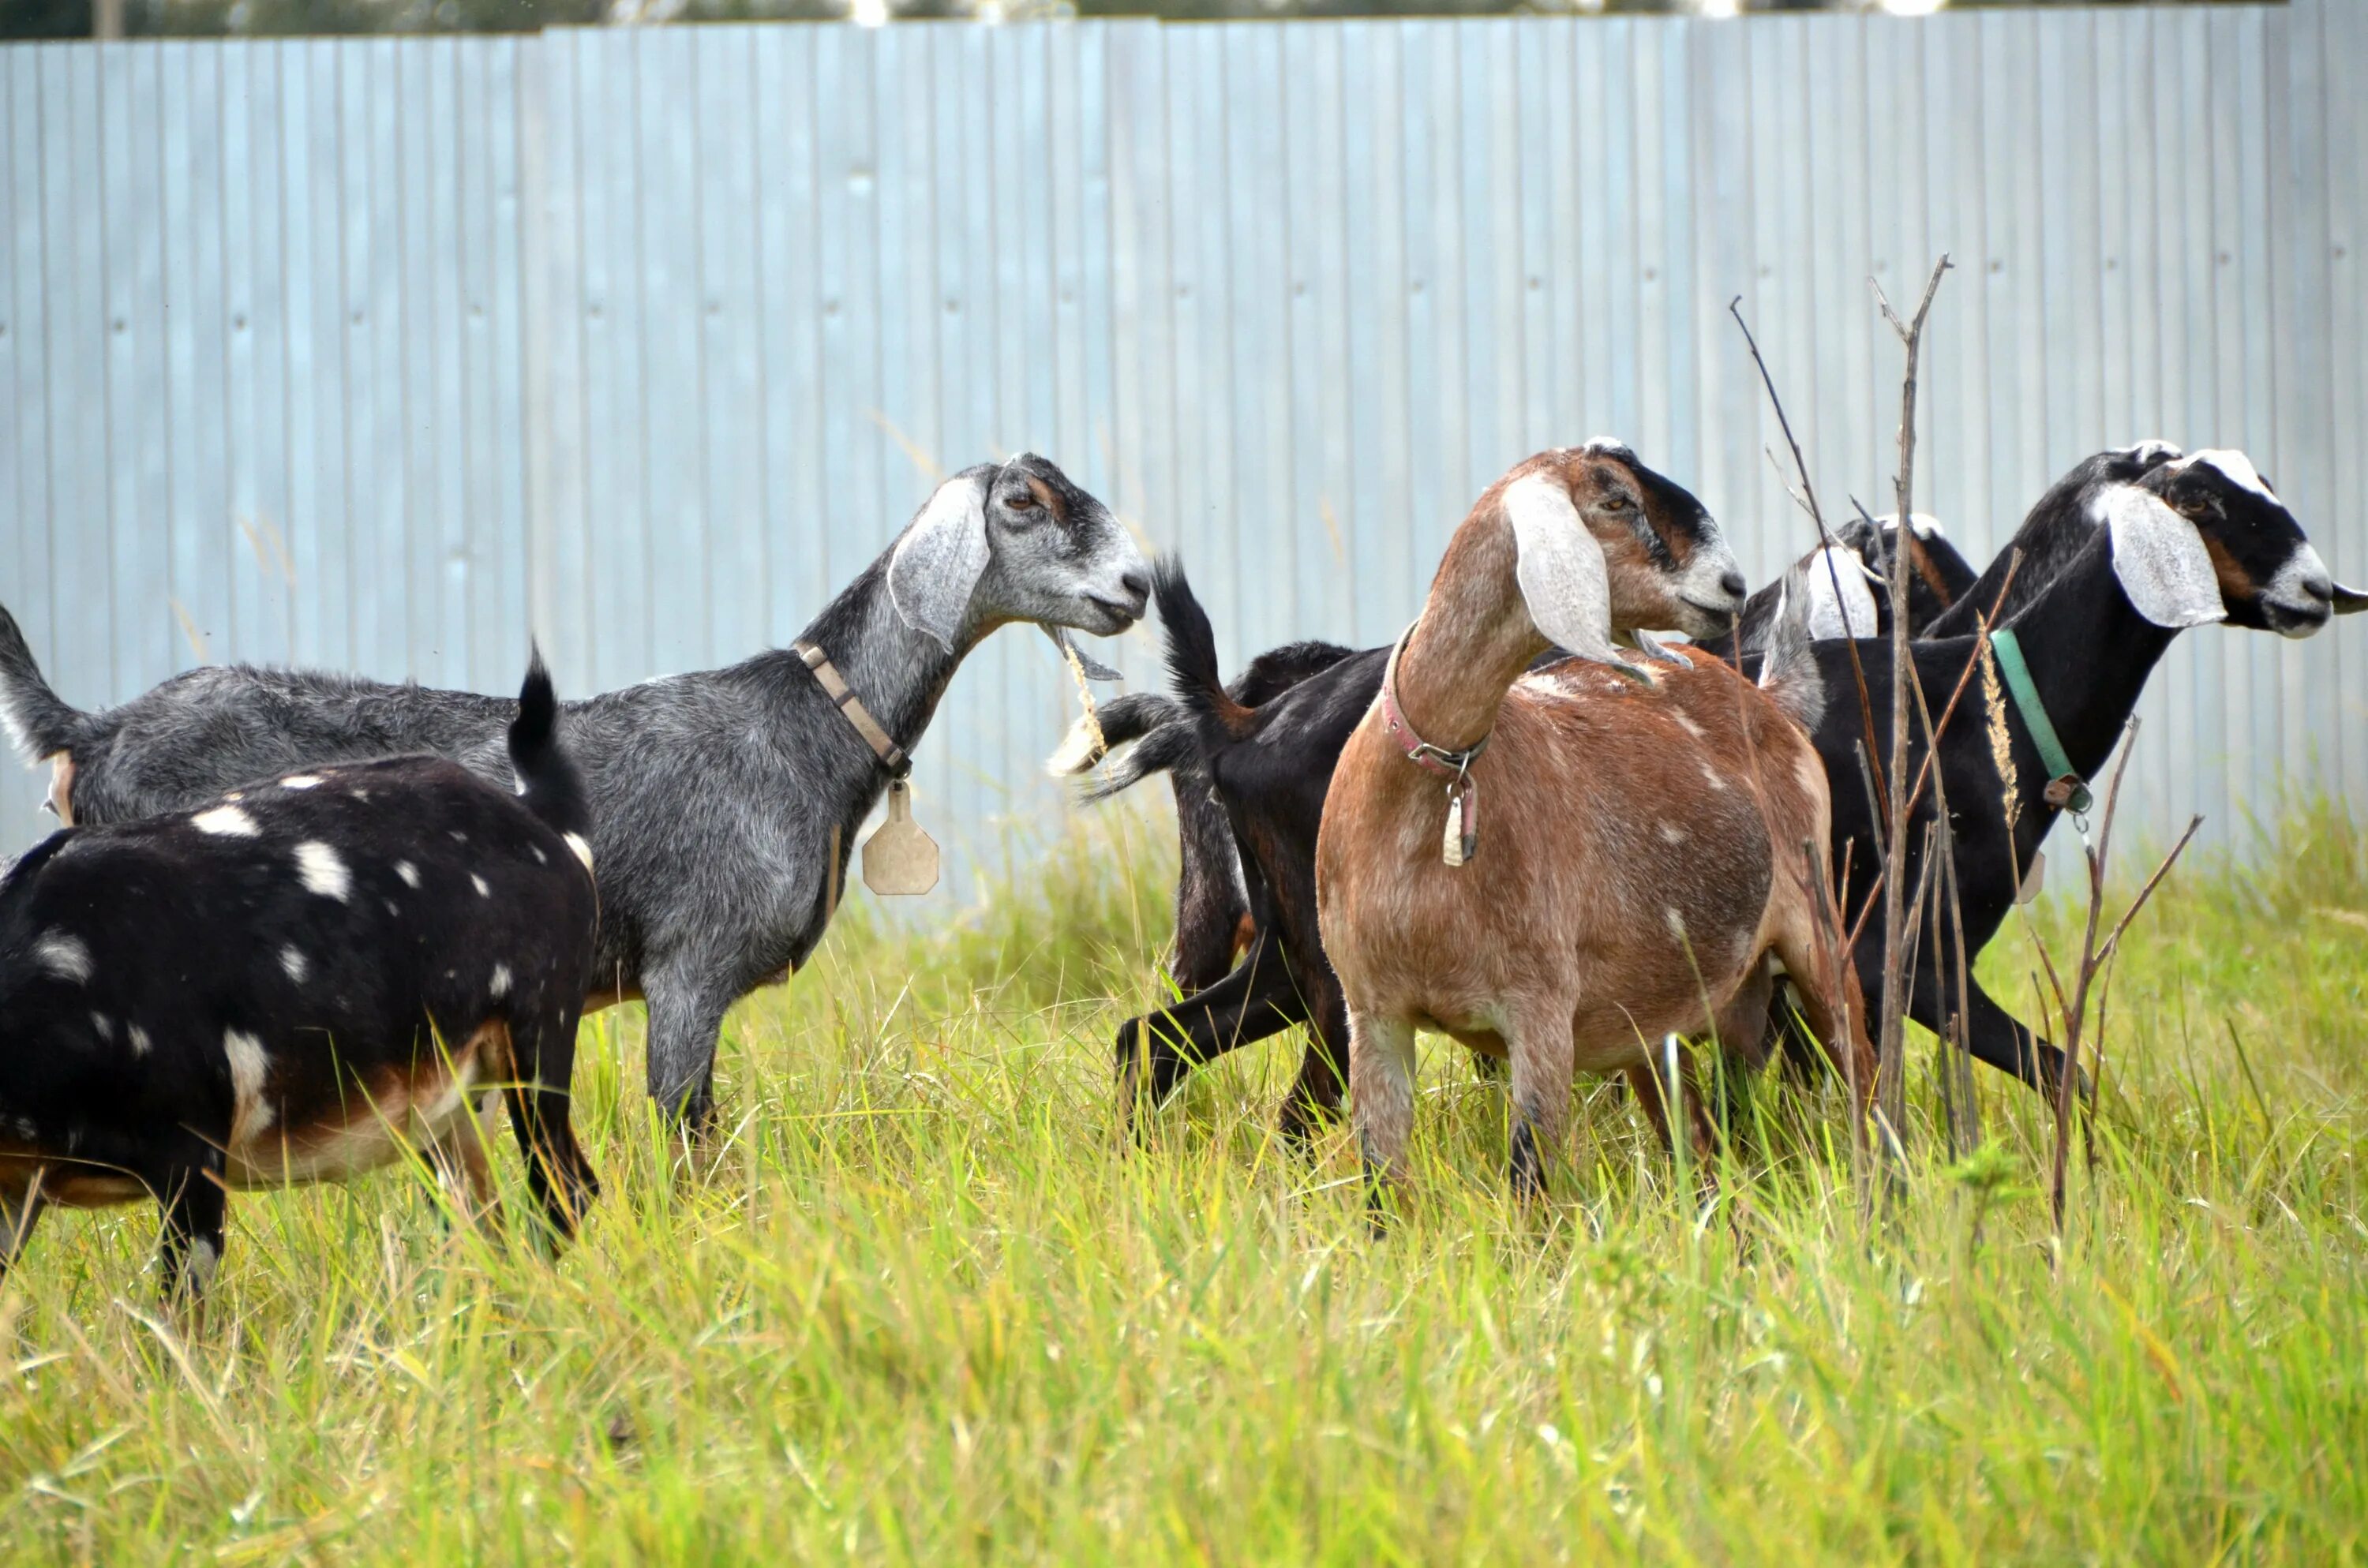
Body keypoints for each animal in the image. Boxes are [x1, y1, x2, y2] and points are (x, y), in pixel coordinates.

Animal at [0, 455, 1146, 1132]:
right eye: (1023, 502)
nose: (1136, 586)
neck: (803, 728)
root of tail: (89, 734)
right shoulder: (689, 965)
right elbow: (689, 1137)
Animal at [0, 653, 601, 1297]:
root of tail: (536, 815)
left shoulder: (192, 1152)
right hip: (453, 1100)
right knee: (477, 1222)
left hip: (539, 1037)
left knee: (566, 1192)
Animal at [1099, 443, 1752, 1141]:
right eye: (1616, 499)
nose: (1729, 585)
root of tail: (1246, 722)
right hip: (1331, 975)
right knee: (1300, 1103)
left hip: (1276, 953)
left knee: (1154, 1037)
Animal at [1317, 447, 1866, 1207]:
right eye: (1615, 501)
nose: (1731, 584)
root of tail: (1771, 700)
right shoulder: (1373, 1016)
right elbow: (1380, 1191)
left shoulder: (1541, 1013)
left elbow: (1530, 1181)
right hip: (1653, 1022)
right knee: (1702, 1144)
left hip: (1817, 934)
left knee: (1871, 1087)